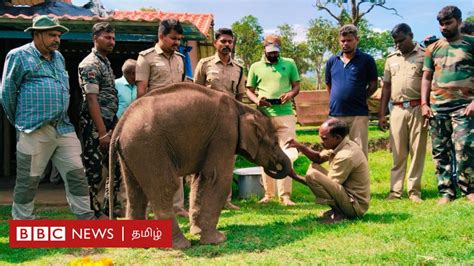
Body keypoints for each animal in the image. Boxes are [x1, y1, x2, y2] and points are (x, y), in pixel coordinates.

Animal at [109, 82, 290, 248]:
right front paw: (217, 240)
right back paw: (181, 245)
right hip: (149, 146)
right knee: (165, 187)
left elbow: (200, 179)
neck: (242, 107)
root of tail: (121, 122)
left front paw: (197, 232)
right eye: (274, 143)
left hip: (132, 150)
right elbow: (217, 179)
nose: (274, 165)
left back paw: (139, 244)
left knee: (135, 190)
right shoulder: (225, 133)